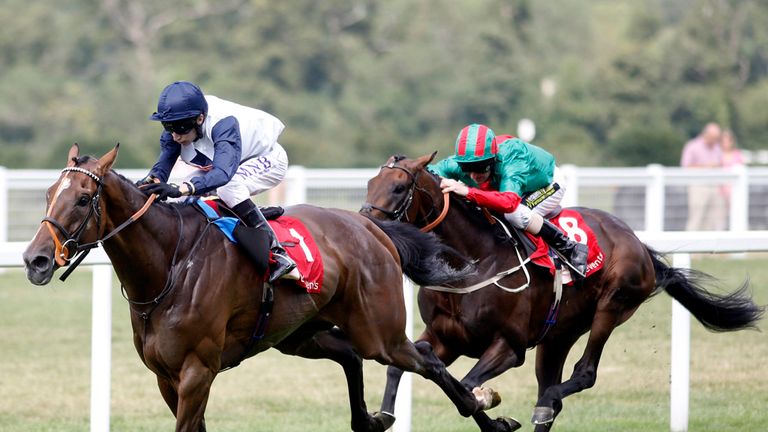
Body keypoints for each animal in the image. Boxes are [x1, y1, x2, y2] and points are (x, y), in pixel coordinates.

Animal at [24, 145, 528, 432]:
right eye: (48, 194)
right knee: (351, 356)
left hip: (379, 331)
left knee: (423, 359)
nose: (35, 261)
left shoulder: (197, 371)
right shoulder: (167, 378)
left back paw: (489, 413)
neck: (170, 263)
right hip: (299, 334)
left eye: (83, 199)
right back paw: (368, 421)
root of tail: (370, 227)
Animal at [362, 152, 760, 428]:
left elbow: (467, 385)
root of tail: (637, 241)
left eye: (399, 188)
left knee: (581, 376)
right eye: (369, 184)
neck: (472, 261)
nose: (364, 225)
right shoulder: (446, 336)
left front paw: (490, 405)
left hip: (612, 304)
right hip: (557, 336)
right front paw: (383, 415)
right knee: (550, 396)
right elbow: (407, 370)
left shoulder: (509, 347)